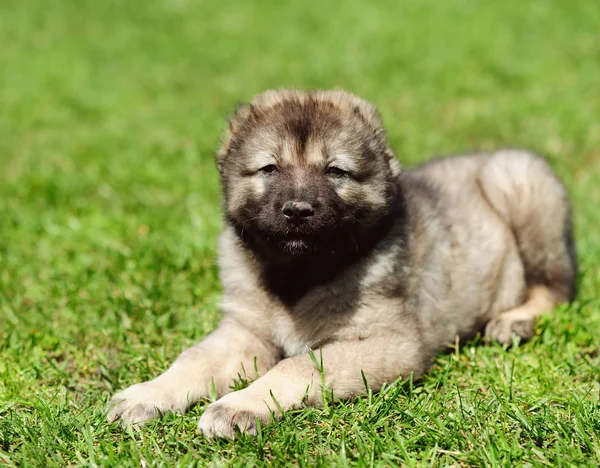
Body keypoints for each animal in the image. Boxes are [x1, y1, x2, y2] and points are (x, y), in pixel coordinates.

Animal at [108, 88, 576, 438]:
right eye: (269, 168)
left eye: (335, 171)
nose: (297, 210)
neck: (297, 274)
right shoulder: (244, 332)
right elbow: (193, 360)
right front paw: (148, 394)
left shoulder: (388, 342)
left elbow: (296, 365)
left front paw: (239, 405)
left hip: (519, 181)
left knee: (556, 289)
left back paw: (513, 321)